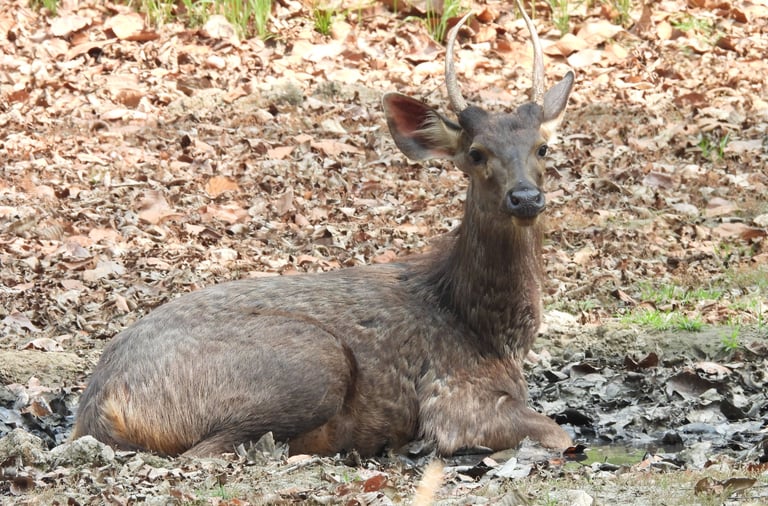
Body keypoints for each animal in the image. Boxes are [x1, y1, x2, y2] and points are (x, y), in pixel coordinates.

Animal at [72, 2, 575, 458]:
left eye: (543, 147)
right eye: (475, 153)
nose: (525, 197)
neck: (488, 335)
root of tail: (97, 407)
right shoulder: (455, 400)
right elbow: (559, 434)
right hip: (316, 360)